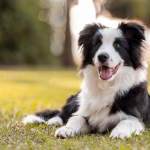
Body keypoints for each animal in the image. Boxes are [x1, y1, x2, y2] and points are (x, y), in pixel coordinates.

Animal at [22, 20, 150, 139]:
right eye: (97, 44)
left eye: (118, 45)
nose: (102, 56)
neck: (106, 85)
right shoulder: (85, 112)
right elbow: (76, 118)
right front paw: (66, 129)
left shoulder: (137, 118)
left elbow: (126, 122)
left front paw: (119, 133)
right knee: (62, 113)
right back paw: (55, 121)